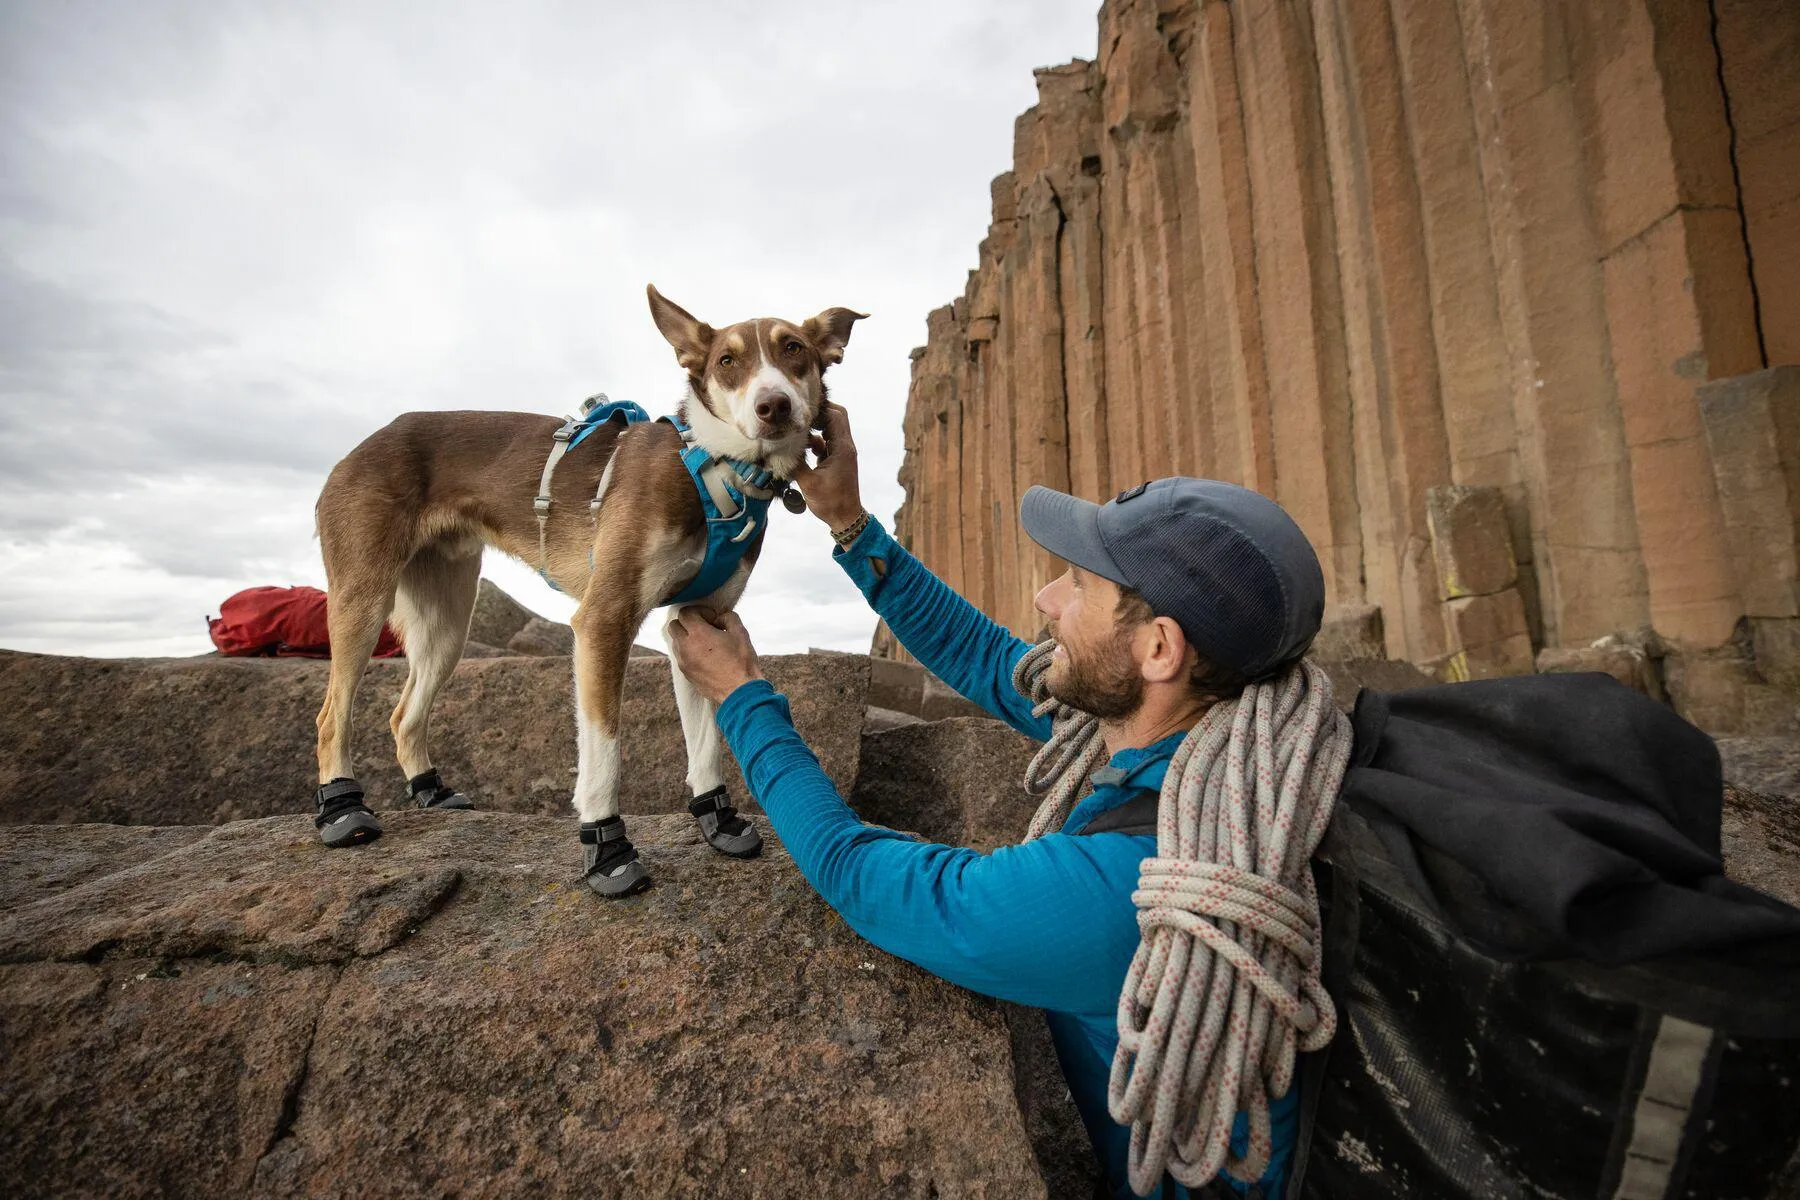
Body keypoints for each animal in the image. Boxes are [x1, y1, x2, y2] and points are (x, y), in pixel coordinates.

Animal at [307, 286, 864, 895]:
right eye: (726, 361)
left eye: (794, 349)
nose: (775, 406)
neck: (714, 468)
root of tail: (359, 446)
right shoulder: (604, 620)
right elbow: (606, 752)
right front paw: (606, 848)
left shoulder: (699, 620)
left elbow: (706, 741)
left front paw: (717, 820)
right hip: (363, 600)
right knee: (332, 715)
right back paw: (342, 810)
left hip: (448, 623)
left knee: (403, 714)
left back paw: (430, 790)